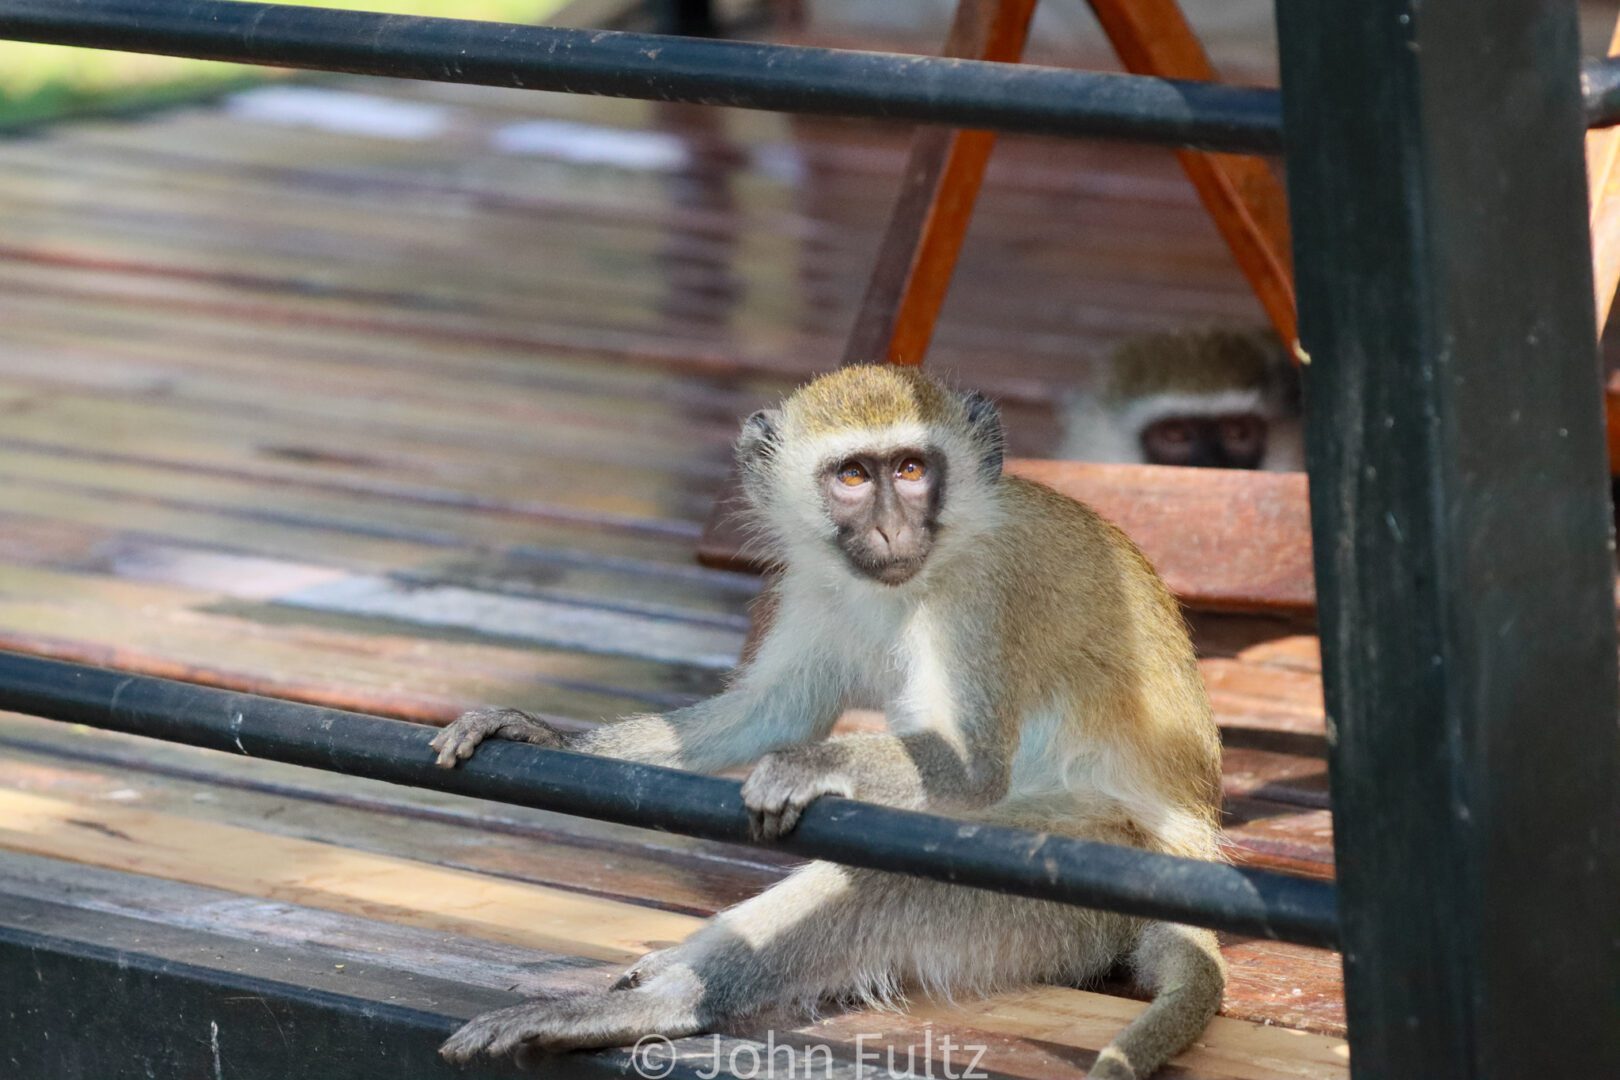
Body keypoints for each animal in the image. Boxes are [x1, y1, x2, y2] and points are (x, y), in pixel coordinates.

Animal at [437, 365, 1218, 1080]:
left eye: (911, 470)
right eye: (851, 476)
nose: (891, 528)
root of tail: (1194, 853)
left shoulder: (984, 591)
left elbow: (969, 770)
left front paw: (808, 766)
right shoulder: (815, 579)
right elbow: (772, 709)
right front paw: (543, 734)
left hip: (1089, 862)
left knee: (893, 869)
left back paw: (668, 1002)